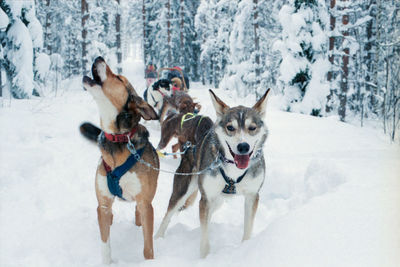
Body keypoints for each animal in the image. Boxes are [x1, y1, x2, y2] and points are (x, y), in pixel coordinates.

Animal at [80, 56, 160, 264]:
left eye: (118, 77)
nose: (99, 57)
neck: (118, 139)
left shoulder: (146, 204)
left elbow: (148, 247)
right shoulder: (103, 204)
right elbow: (105, 243)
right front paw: (107, 262)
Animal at [155, 90, 270, 260]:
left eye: (252, 127)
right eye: (230, 127)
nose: (243, 146)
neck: (234, 170)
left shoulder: (252, 196)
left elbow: (248, 229)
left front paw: (245, 249)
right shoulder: (206, 199)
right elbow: (204, 239)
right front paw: (204, 258)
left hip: (217, 200)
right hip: (184, 190)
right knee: (169, 214)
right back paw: (157, 238)